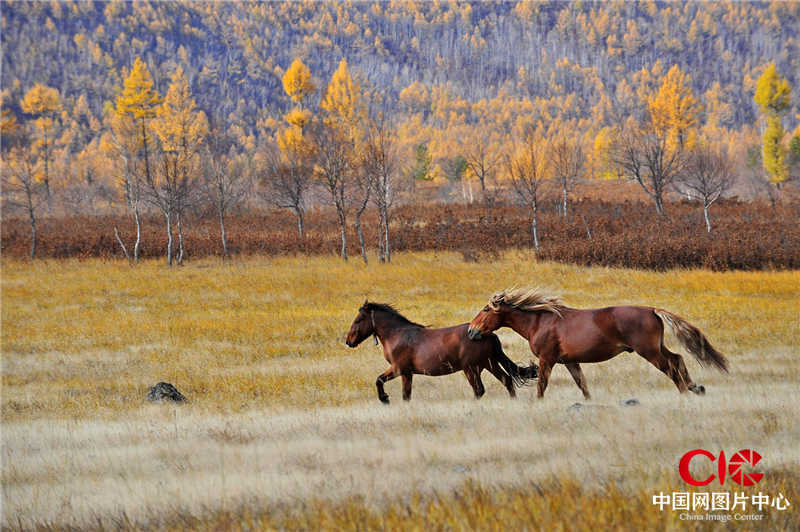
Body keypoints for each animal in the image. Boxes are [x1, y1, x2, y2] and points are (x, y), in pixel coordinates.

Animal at [344, 300, 536, 404]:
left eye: (359, 319)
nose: (349, 341)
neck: (397, 334)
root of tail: (487, 334)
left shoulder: (400, 369)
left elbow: (382, 382)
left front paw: (384, 399)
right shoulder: (407, 373)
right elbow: (405, 394)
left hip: (472, 369)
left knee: (479, 390)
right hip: (488, 363)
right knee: (507, 380)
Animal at [462, 290, 732, 400]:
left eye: (486, 309)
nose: (471, 331)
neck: (540, 320)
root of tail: (652, 310)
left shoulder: (547, 360)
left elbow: (542, 385)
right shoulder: (569, 361)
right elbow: (582, 384)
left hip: (649, 351)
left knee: (670, 366)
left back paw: (685, 392)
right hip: (657, 347)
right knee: (677, 358)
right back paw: (696, 388)